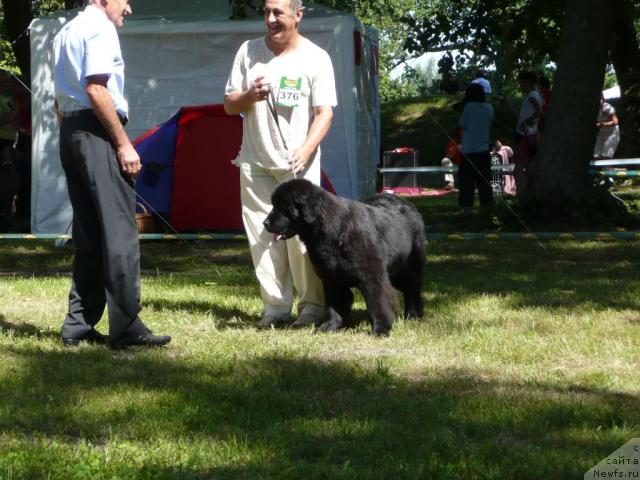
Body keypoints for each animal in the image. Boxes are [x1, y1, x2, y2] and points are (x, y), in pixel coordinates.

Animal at [264, 178, 424, 336]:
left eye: (282, 207)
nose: (265, 223)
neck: (331, 232)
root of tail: (407, 203)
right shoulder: (331, 277)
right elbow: (334, 303)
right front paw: (328, 326)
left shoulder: (372, 275)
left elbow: (378, 301)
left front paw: (380, 330)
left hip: (407, 268)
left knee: (412, 291)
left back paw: (413, 316)